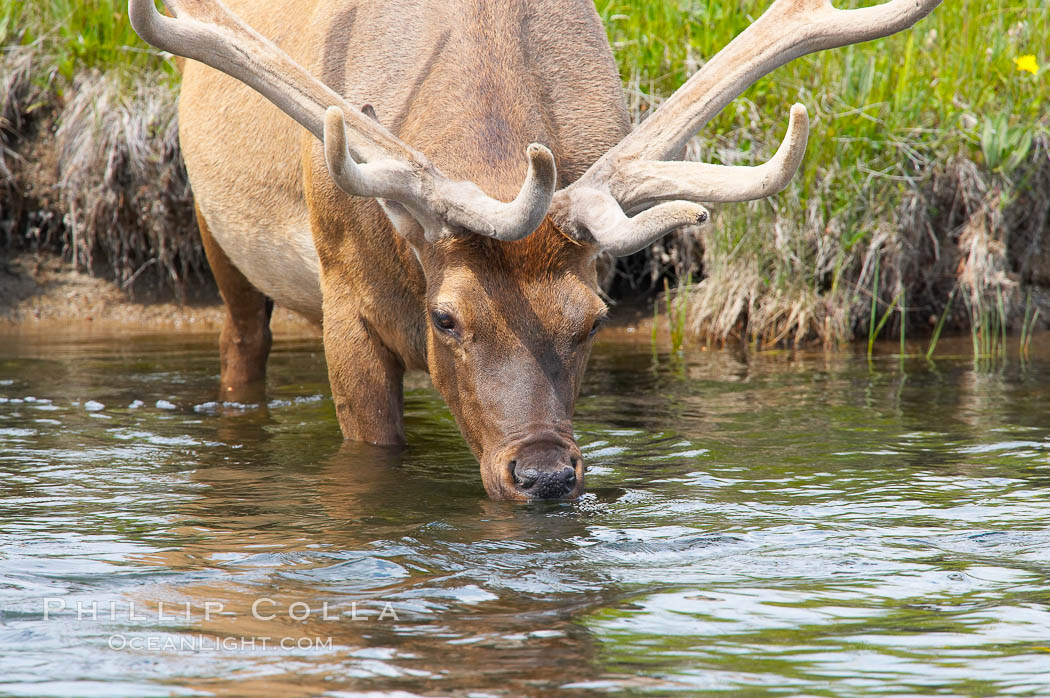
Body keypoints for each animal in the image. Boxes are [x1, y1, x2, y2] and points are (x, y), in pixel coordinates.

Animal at [131, 0, 944, 501]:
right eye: (447, 318)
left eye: (594, 317)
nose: (546, 475)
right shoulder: (344, 300)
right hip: (213, 228)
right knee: (243, 343)